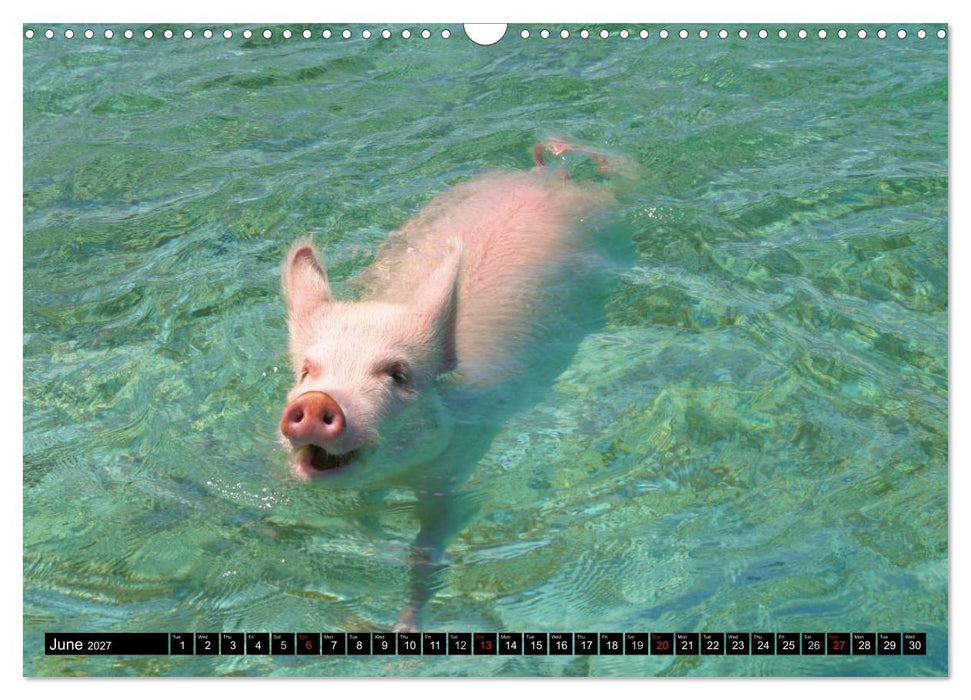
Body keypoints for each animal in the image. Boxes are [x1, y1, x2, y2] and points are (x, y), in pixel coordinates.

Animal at [279, 140, 625, 631]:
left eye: (399, 374)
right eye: (307, 371)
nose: (314, 401)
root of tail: (548, 177)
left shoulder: (457, 468)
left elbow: (427, 549)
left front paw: (405, 628)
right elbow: (365, 512)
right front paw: (377, 536)